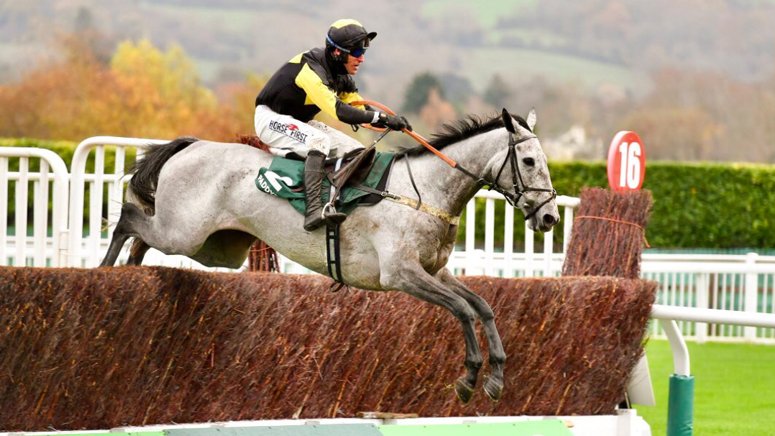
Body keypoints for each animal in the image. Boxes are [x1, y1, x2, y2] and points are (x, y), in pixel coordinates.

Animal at [99, 108, 560, 403]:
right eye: (529, 160)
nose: (550, 217)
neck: (426, 191)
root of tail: (190, 146)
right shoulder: (401, 274)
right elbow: (462, 310)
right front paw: (468, 378)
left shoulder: (435, 270)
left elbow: (482, 306)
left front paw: (496, 376)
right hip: (184, 233)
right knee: (128, 220)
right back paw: (105, 271)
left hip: (214, 247)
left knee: (142, 238)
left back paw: (131, 273)